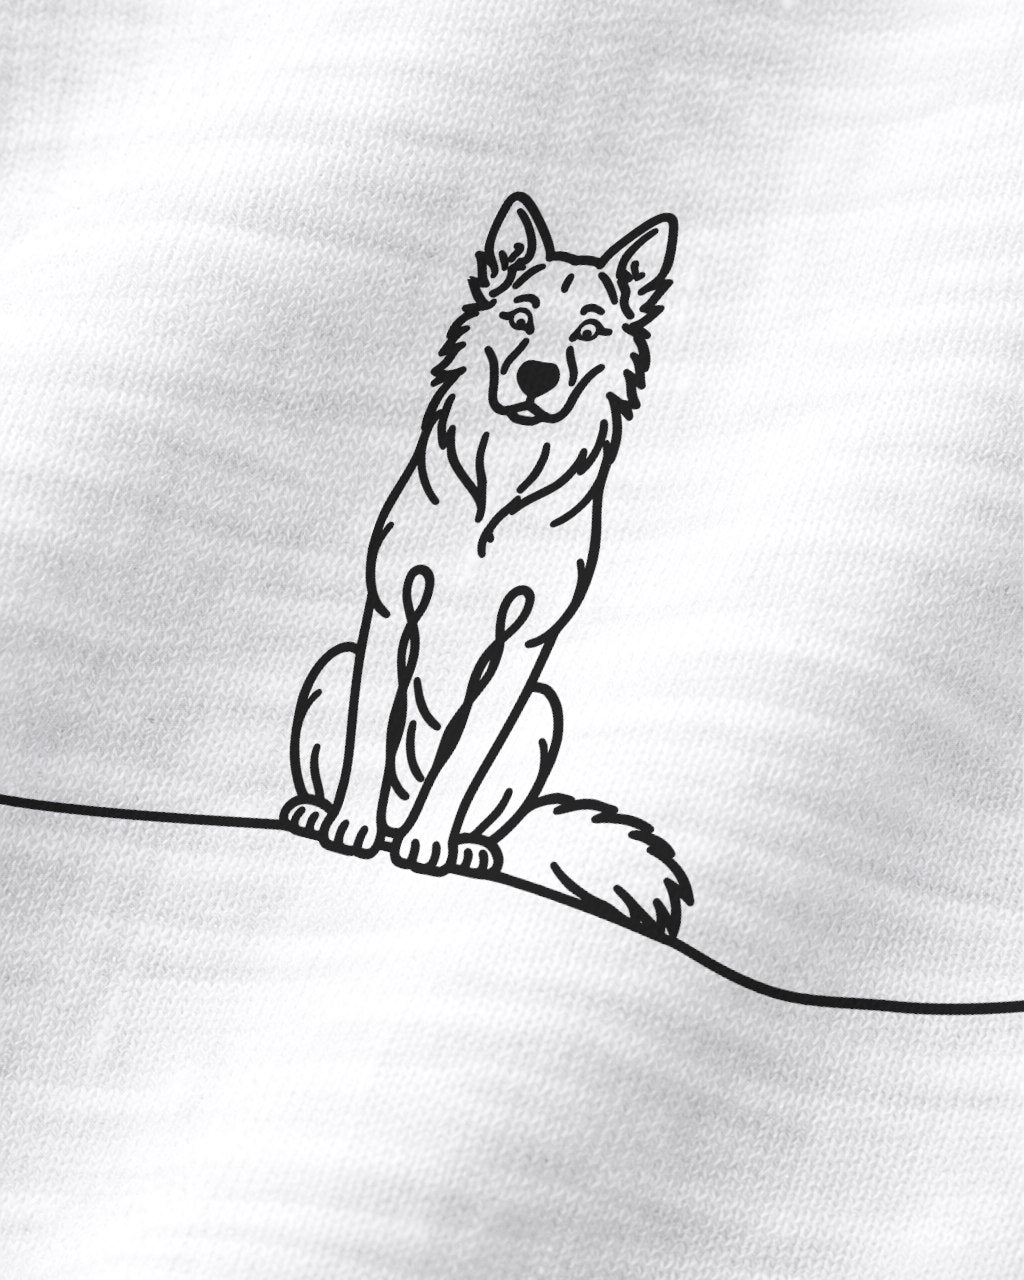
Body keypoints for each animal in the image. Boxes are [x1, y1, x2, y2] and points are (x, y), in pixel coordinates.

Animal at [280, 192, 693, 938]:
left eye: (589, 331)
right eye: (521, 317)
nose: (538, 376)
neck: (505, 471)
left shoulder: (527, 644)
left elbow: (464, 756)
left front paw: (432, 842)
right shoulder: (392, 607)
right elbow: (371, 732)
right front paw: (349, 824)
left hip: (542, 711)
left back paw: (465, 845)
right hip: (333, 666)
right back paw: (323, 812)